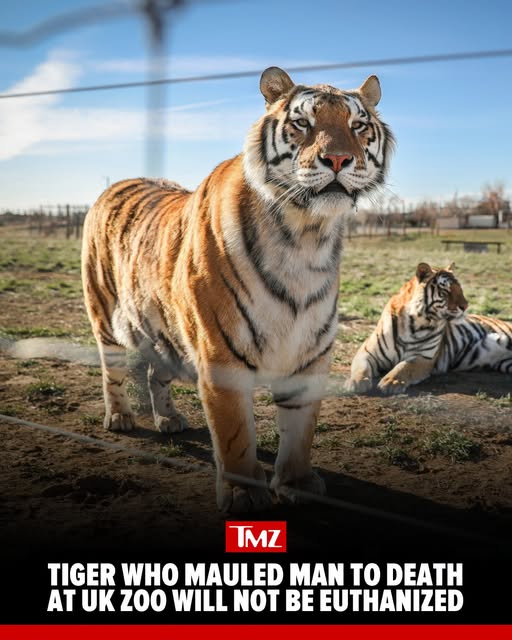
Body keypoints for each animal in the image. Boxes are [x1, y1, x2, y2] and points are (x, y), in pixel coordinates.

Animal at [81, 66, 394, 513]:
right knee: (113, 370)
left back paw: (168, 419)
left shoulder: (310, 352)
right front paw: (244, 493)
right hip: (105, 313)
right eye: (303, 123)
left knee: (157, 373)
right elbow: (234, 433)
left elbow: (300, 429)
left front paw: (297, 483)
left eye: (358, 125)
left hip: (165, 329)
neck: (306, 235)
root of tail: (116, 183)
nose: (337, 159)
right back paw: (120, 417)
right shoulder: (220, 352)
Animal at [347, 262, 512, 395]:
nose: (465, 306)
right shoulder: (367, 351)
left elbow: (403, 367)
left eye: (460, 289)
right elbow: (361, 367)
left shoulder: (424, 357)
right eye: (446, 291)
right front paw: (355, 382)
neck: (414, 322)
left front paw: (391, 382)